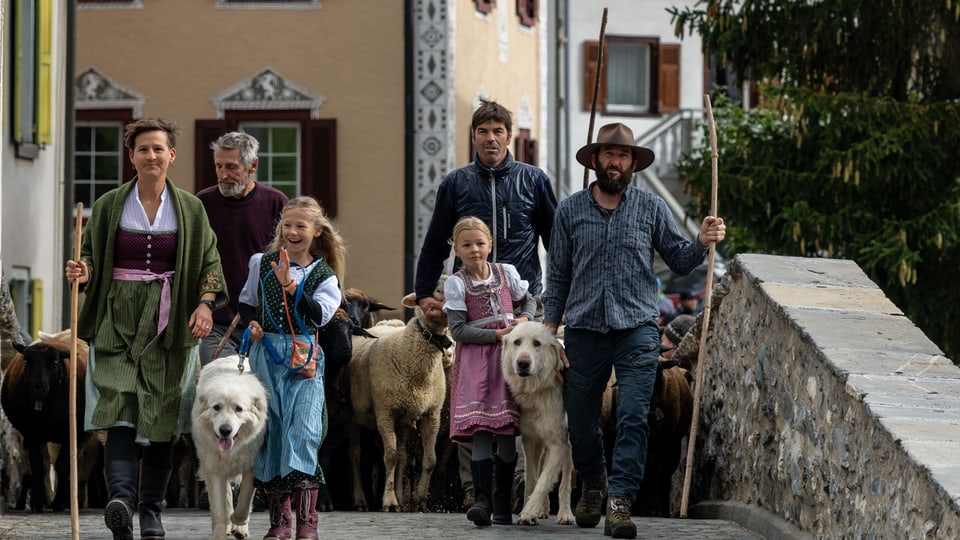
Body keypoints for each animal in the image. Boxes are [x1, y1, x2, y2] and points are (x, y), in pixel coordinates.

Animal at [191, 356, 268, 536]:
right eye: (216, 407)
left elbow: (244, 502)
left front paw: (238, 523)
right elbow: (220, 510)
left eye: (238, 409)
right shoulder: (215, 468)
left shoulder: (252, 467)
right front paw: (221, 532)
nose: (225, 430)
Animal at [344, 278, 450, 510]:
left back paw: (402, 499)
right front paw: (389, 501)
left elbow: (430, 459)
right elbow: (390, 457)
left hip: (403, 417)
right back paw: (361, 500)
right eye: (435, 288)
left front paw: (419, 499)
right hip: (353, 415)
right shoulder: (385, 412)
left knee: (402, 455)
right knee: (355, 454)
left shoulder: (432, 413)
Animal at [498, 322, 572, 524]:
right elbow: (533, 479)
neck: (536, 392)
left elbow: (545, 480)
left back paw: (565, 514)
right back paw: (543, 510)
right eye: (517, 342)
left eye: (537, 343)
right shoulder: (530, 441)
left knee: (565, 482)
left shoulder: (559, 445)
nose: (523, 363)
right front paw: (530, 511)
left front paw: (529, 512)